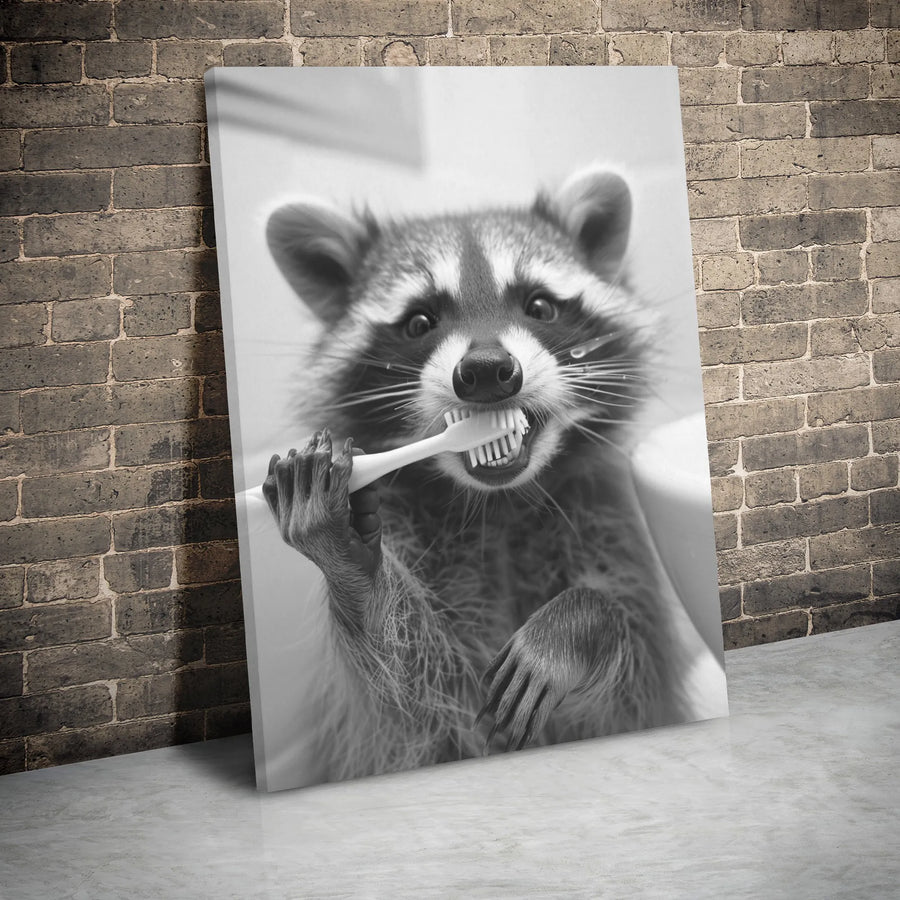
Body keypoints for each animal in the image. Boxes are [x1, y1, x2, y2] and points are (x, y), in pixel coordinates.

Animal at [263, 169, 691, 782]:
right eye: (420, 321)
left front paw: (578, 623)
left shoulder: (606, 525)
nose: (487, 371)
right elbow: (416, 704)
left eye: (539, 306)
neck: (498, 502)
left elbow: (628, 691)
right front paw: (353, 568)